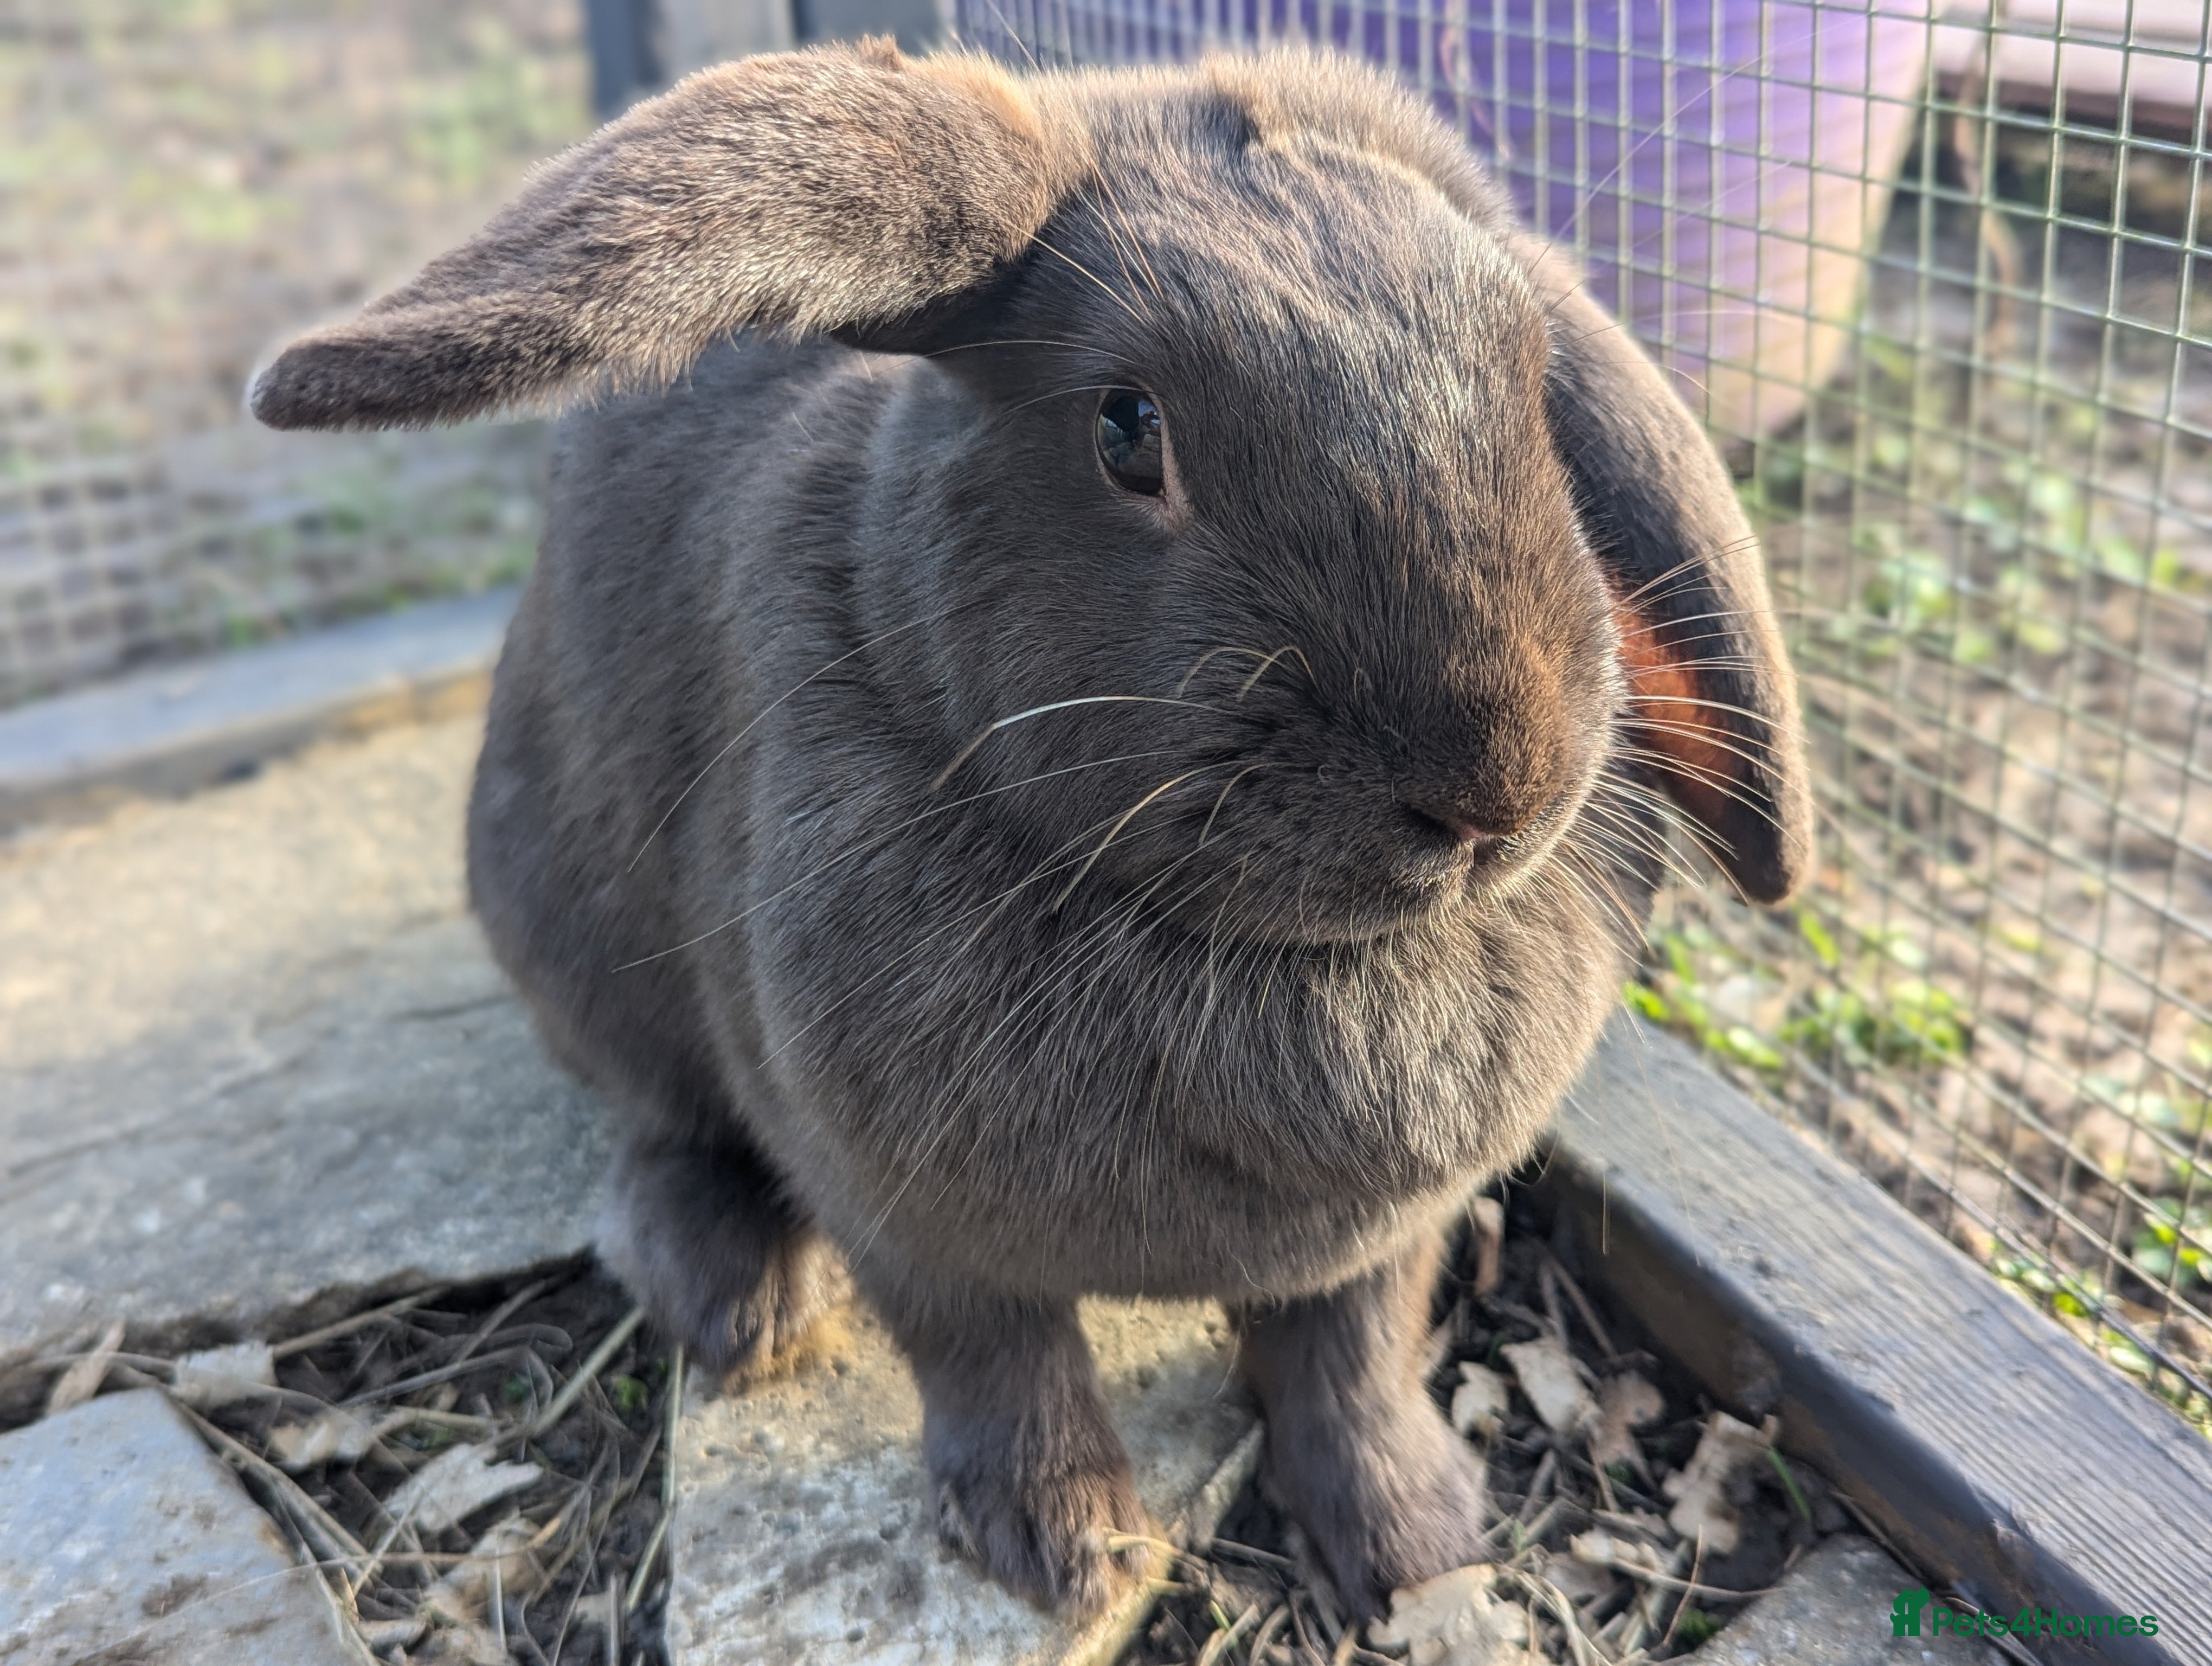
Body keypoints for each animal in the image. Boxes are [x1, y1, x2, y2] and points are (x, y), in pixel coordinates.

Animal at [249, 40, 1810, 1622]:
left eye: (1534, 383)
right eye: (1128, 430)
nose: (1497, 791)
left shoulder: (1386, 1237)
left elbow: (1351, 1356)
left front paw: (1413, 1541)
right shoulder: (894, 1203)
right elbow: (997, 1355)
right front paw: (1067, 1547)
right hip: (567, 928)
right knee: (655, 1122)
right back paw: (740, 1301)